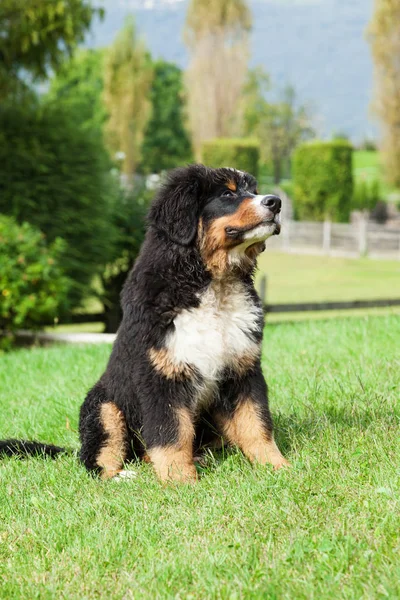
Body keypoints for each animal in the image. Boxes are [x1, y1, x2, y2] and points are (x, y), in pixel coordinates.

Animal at [0, 165, 290, 482]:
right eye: (228, 193)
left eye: (253, 190)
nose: (276, 202)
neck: (212, 285)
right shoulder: (161, 373)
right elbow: (171, 432)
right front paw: (180, 480)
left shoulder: (242, 368)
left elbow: (255, 423)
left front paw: (277, 467)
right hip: (104, 408)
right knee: (95, 459)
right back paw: (124, 476)